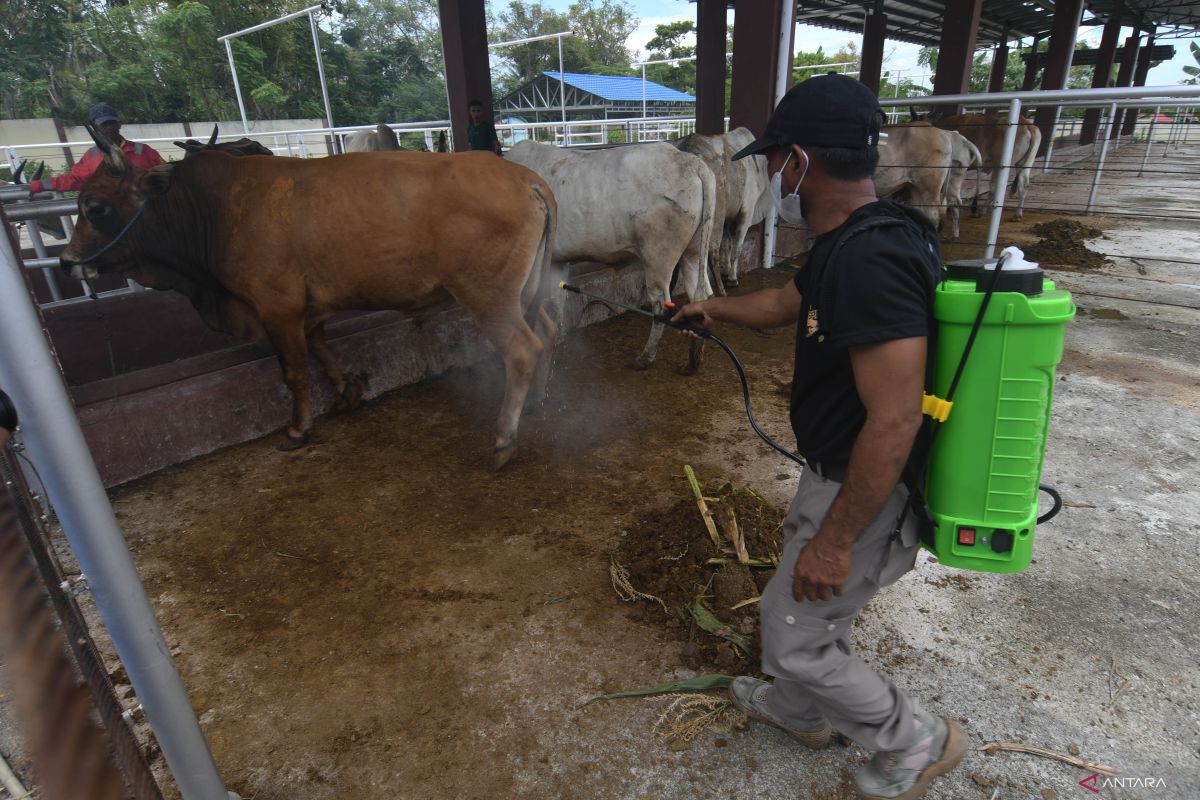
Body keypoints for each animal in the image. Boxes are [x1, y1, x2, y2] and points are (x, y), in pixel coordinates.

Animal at [60, 125, 556, 470]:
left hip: (487, 297)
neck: (212, 210)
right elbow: (320, 348)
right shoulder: (310, 306)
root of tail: (522, 176)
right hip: (526, 291)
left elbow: (294, 372)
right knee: (544, 336)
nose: (66, 261)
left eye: (95, 207)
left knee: (524, 350)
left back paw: (503, 439)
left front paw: (298, 428)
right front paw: (346, 390)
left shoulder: (277, 307)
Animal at [511, 140, 715, 371]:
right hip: (693, 251)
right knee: (702, 296)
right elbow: (554, 305)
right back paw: (693, 361)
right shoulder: (557, 260)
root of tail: (691, 161)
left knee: (662, 306)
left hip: (658, 257)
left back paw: (645, 358)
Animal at [676, 128, 768, 293]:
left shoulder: (728, 217)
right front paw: (732, 278)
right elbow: (737, 247)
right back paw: (720, 291)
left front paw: (727, 274)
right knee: (711, 252)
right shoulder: (747, 211)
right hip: (716, 215)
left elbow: (727, 244)